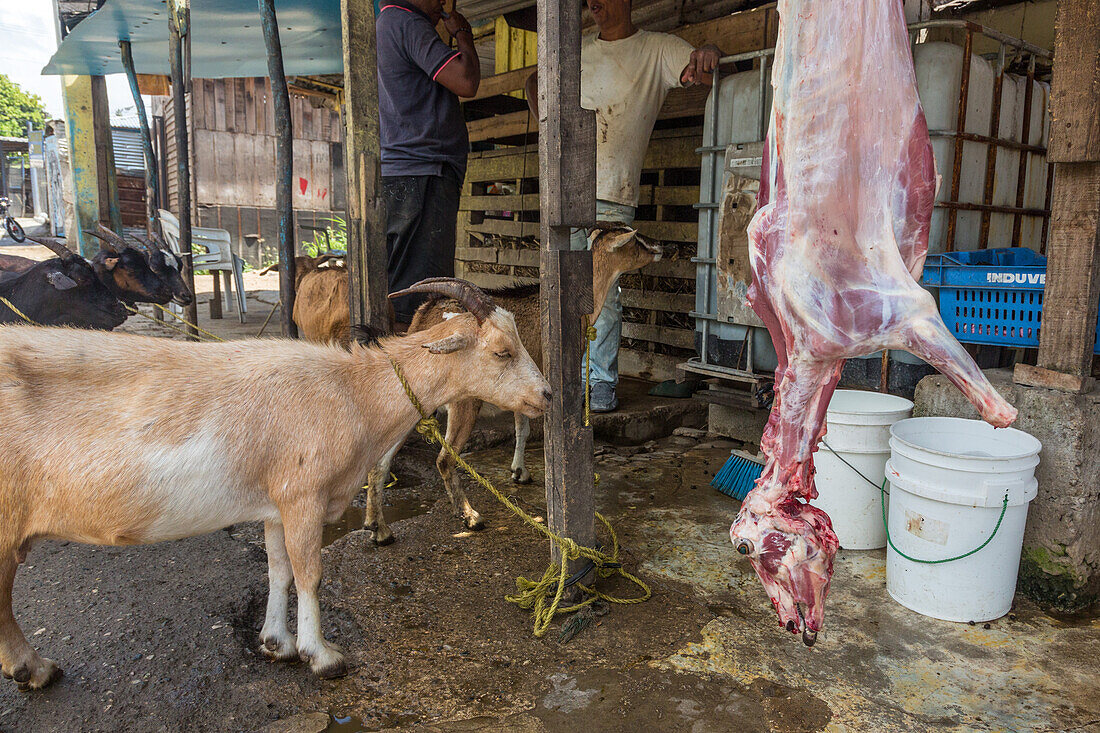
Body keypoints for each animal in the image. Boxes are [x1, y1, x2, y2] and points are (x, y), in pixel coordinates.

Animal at [0, 278, 547, 686]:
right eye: (502, 351)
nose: (544, 395)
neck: (353, 392)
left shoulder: (273, 504)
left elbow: (278, 571)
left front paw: (276, 642)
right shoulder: (303, 496)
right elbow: (310, 574)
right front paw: (322, 654)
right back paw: (34, 668)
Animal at [363, 226, 660, 541]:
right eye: (635, 240)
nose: (662, 247)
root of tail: (424, 317)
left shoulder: (524, 390)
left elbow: (521, 427)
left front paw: (518, 471)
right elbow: (532, 428)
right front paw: (530, 475)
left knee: (379, 459)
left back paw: (378, 528)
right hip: (462, 401)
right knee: (444, 459)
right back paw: (470, 516)